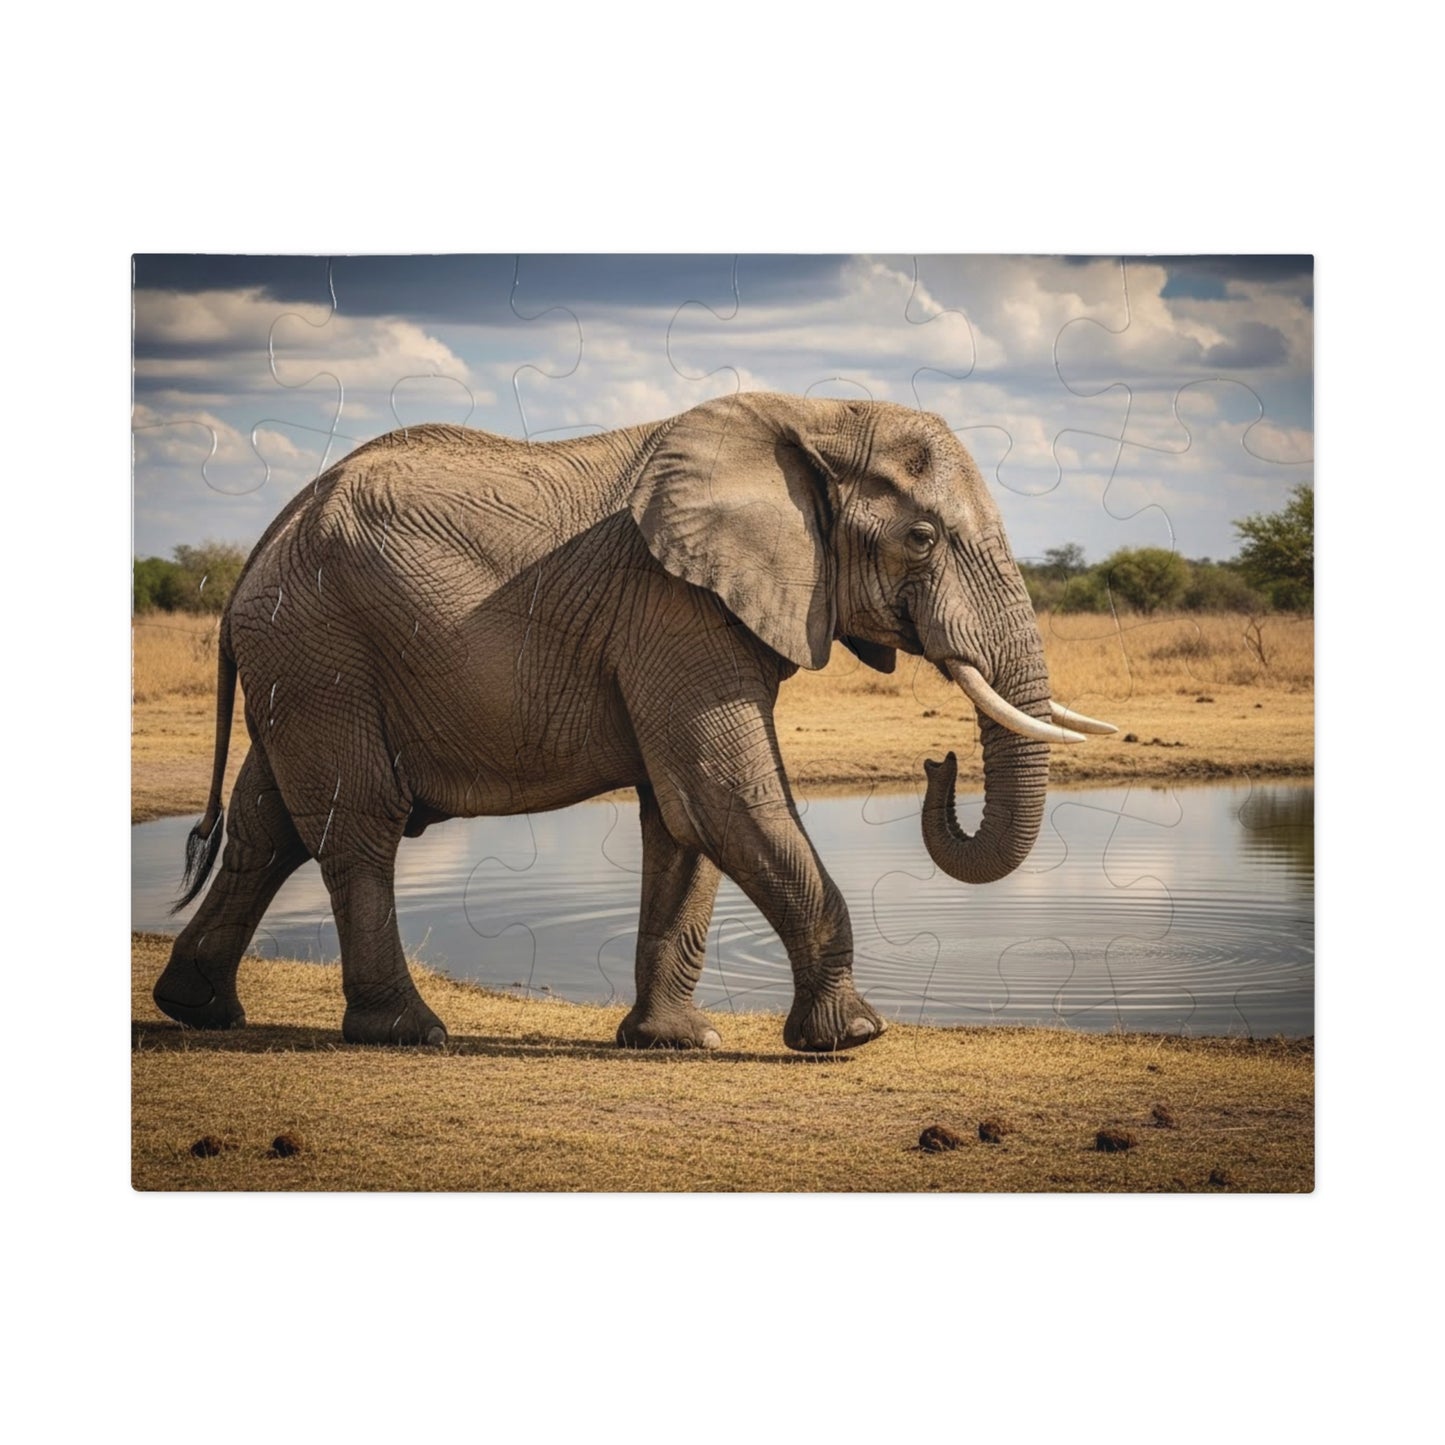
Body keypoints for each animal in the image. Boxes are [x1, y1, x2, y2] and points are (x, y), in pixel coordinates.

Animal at [154, 392, 1115, 1051]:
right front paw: (853, 1037)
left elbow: (682, 819)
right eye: (921, 538)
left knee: (267, 824)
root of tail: (259, 547)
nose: (936, 761)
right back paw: (408, 1031)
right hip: (321, 645)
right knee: (356, 823)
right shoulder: (675, 606)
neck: (817, 416)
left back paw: (195, 1009)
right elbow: (725, 796)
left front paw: (675, 1042)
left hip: (302, 660)